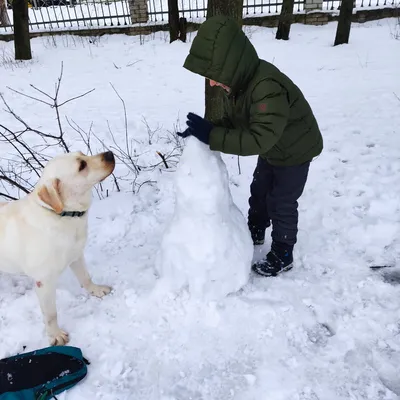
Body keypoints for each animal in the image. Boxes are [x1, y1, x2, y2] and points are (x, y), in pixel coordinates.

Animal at [0, 151, 115, 346]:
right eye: (82, 165)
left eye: (82, 153)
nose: (109, 153)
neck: (62, 215)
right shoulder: (44, 281)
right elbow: (51, 314)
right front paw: (55, 335)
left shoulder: (76, 255)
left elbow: (86, 278)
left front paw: (96, 290)